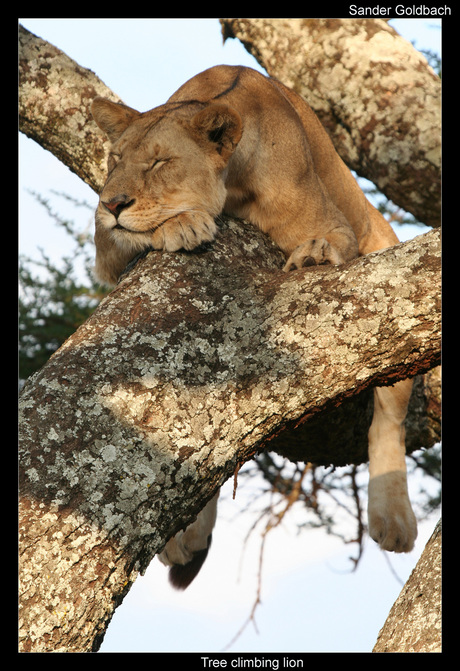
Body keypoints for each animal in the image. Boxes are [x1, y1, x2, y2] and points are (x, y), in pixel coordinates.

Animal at [91, 63, 418, 588]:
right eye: (114, 161)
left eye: (159, 162)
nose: (114, 201)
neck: (234, 189)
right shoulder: (103, 245)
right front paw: (182, 223)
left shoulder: (337, 224)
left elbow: (327, 242)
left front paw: (312, 254)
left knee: (389, 414)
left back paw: (394, 519)